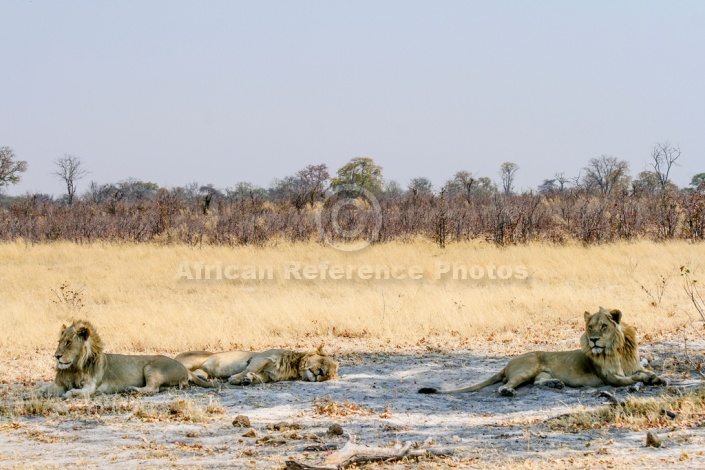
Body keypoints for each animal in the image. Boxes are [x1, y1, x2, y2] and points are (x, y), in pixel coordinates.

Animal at [40, 320, 212, 396]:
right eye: (59, 342)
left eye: (68, 343)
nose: (57, 356)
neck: (74, 367)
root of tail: (185, 369)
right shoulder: (60, 384)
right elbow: (43, 389)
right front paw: (36, 392)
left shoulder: (91, 386)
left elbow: (78, 392)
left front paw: (70, 393)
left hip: (151, 368)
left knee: (152, 389)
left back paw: (132, 389)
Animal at [418, 308, 664, 396]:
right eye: (589, 327)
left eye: (603, 326)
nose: (593, 339)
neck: (617, 349)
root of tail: (507, 364)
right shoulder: (610, 378)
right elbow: (630, 379)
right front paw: (649, 380)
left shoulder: (633, 366)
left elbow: (644, 372)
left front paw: (657, 379)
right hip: (527, 368)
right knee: (505, 385)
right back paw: (508, 391)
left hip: (538, 373)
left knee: (537, 382)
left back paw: (555, 383)